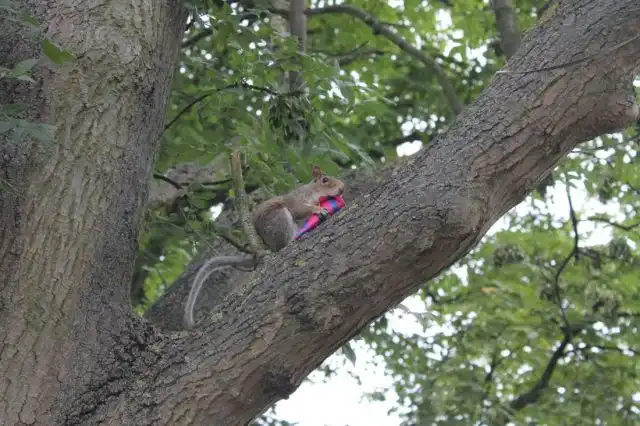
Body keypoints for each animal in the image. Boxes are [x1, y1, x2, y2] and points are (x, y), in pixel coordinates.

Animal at [183, 165, 345, 329]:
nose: (342, 188)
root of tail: (268, 246)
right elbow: (300, 210)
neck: (313, 192)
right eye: (325, 180)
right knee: (283, 244)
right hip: (279, 219)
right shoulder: (297, 201)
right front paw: (317, 210)